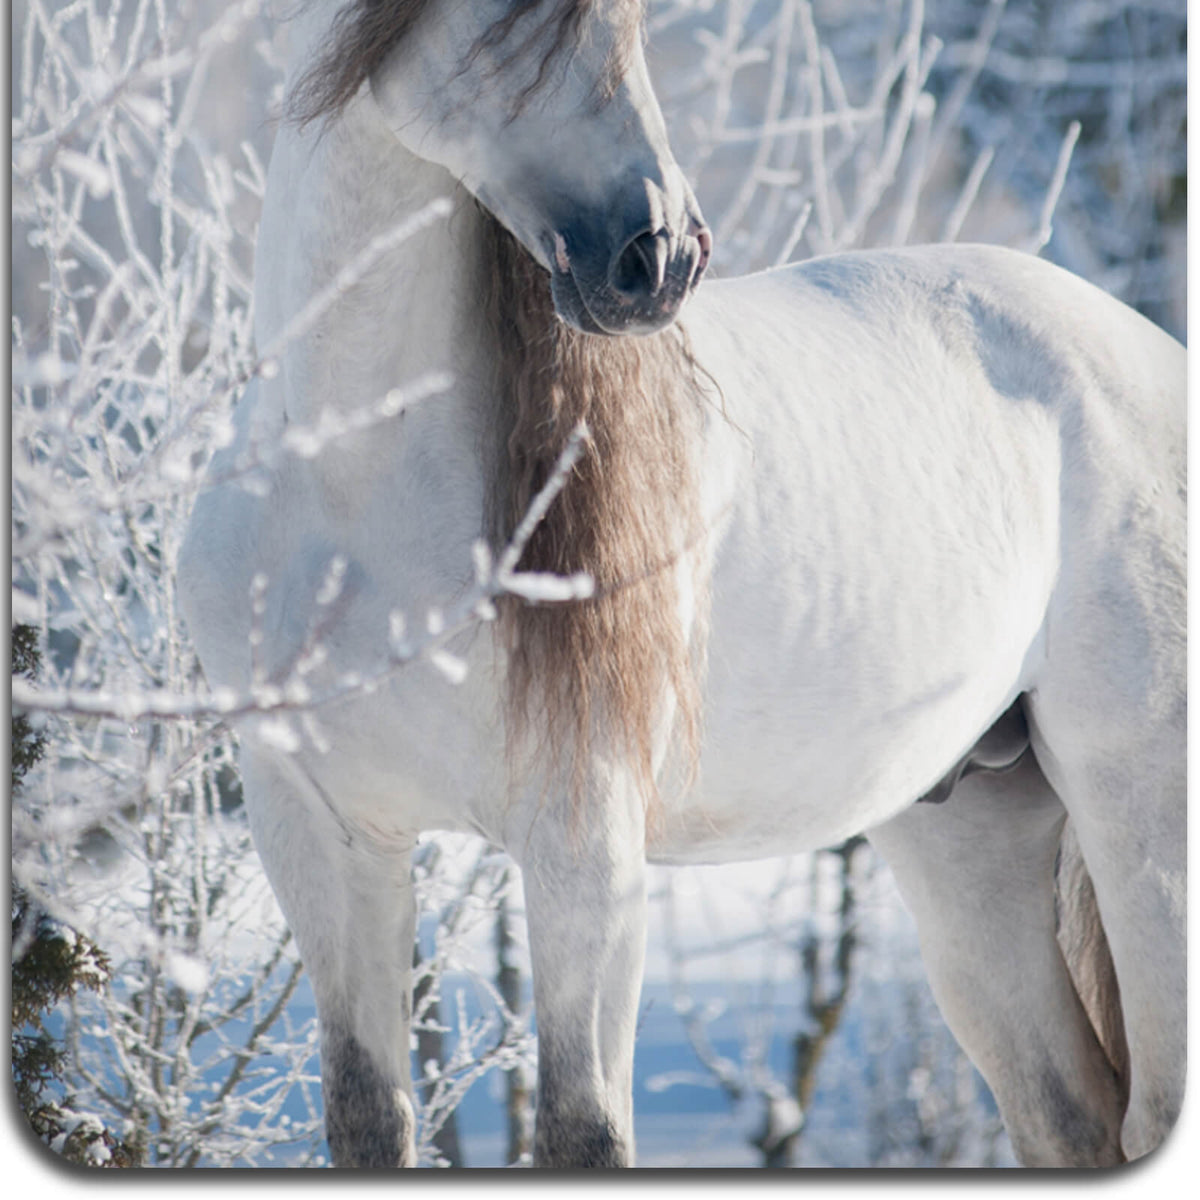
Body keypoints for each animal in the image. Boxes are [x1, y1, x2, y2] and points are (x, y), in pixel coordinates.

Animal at [177, 0, 1185, 1169]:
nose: (658, 255)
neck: (350, 483)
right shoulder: (322, 837)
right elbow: (369, 1119)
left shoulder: (585, 844)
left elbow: (582, 1131)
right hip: (967, 833)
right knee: (1069, 1115)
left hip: (1141, 821)